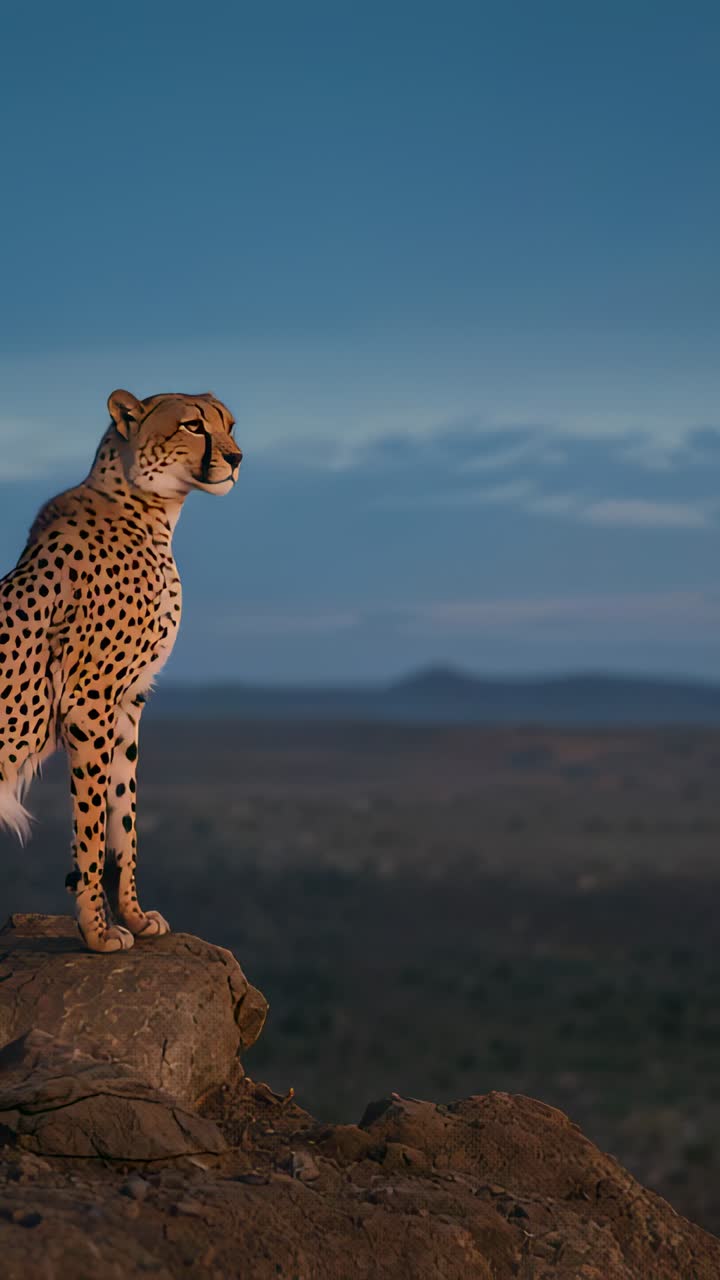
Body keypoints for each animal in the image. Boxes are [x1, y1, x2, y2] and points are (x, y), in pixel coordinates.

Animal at [0, 388, 241, 952]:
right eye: (193, 426)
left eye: (231, 425)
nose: (237, 458)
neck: (150, 509)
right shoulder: (90, 700)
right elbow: (89, 824)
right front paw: (97, 932)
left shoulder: (129, 700)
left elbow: (123, 815)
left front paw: (131, 915)